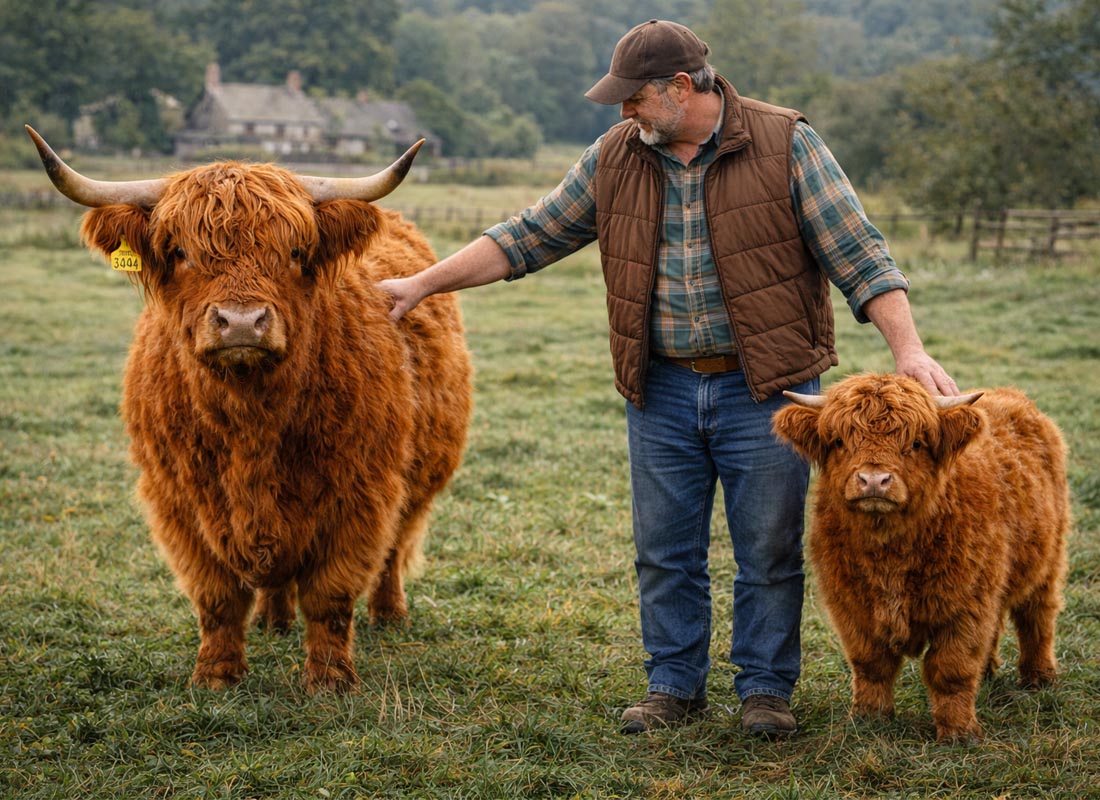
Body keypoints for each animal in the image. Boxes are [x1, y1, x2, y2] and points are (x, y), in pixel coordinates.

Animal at [26, 125, 472, 694]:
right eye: (179, 251)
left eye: (296, 251)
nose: (241, 323)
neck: (250, 421)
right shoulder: (178, 501)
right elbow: (216, 597)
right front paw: (216, 675)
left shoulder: (362, 493)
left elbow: (330, 595)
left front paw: (329, 680)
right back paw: (271, 619)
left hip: (419, 476)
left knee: (394, 548)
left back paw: (389, 613)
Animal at [771, 372, 1069, 742]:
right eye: (839, 441)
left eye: (915, 443)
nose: (874, 480)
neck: (889, 553)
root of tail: (1012, 396)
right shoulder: (851, 605)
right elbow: (870, 664)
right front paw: (869, 717)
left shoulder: (966, 605)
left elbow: (951, 669)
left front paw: (958, 732)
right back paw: (989, 671)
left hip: (1048, 560)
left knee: (1037, 616)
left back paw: (1039, 677)